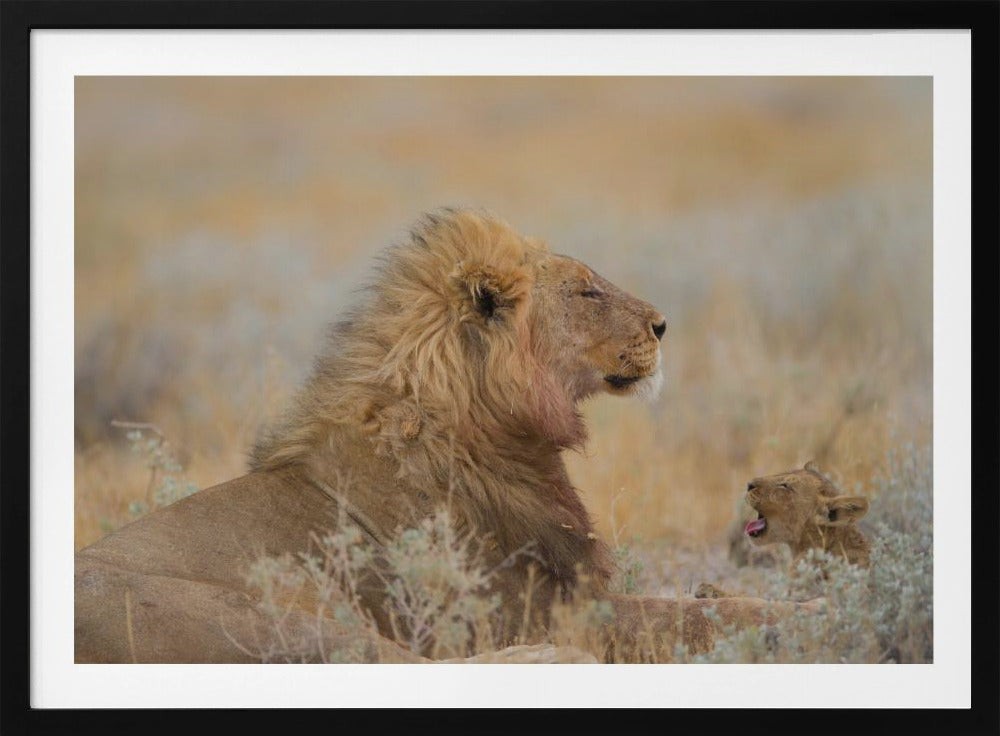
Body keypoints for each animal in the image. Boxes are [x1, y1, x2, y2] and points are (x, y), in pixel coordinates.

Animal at [75, 208, 813, 663]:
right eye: (586, 292)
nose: (663, 325)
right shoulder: (539, 607)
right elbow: (692, 617)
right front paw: (805, 610)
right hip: (279, 616)